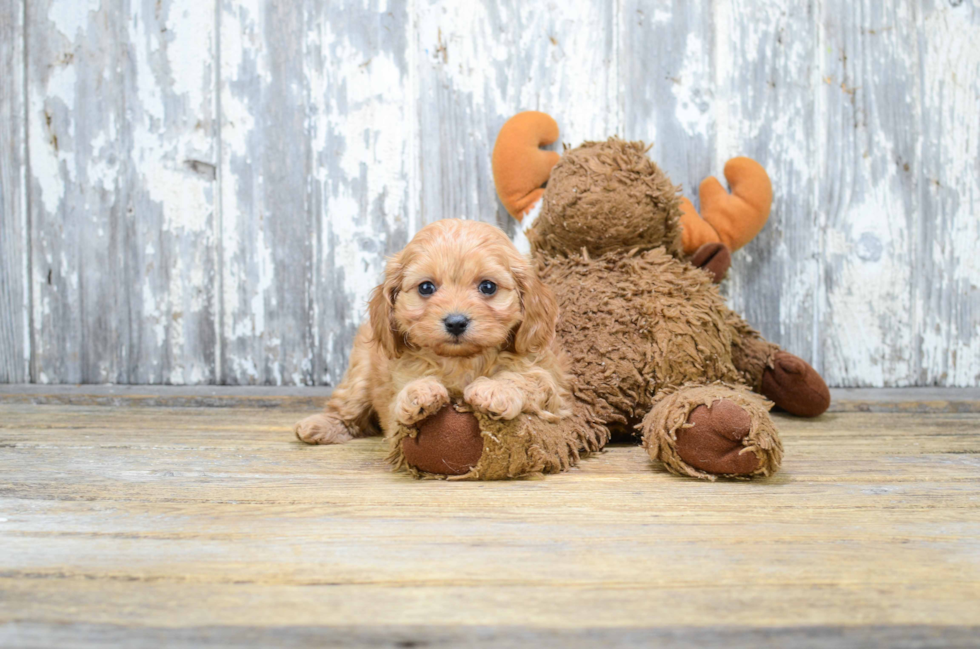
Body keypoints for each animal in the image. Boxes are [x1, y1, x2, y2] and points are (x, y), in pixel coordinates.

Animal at [292, 218, 568, 446]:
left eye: (488, 287)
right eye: (426, 287)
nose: (456, 322)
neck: (462, 361)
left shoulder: (553, 391)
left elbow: (525, 378)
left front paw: (494, 389)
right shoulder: (395, 404)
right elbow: (404, 395)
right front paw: (419, 392)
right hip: (359, 374)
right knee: (346, 408)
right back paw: (318, 425)